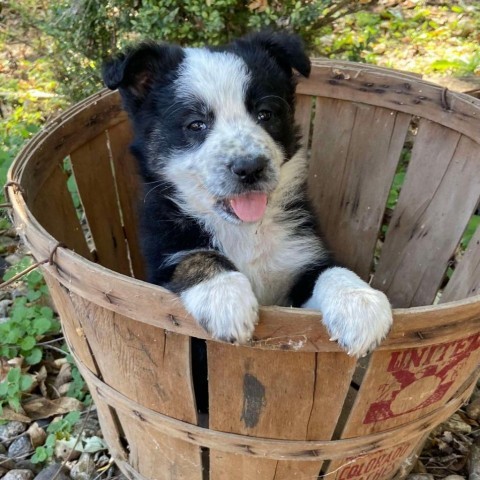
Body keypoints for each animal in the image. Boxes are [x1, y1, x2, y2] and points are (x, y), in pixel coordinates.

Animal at [103, 31, 392, 356]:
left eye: (265, 114)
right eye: (196, 124)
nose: (250, 168)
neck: (245, 231)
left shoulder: (303, 257)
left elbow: (331, 271)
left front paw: (360, 304)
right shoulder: (162, 253)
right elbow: (194, 256)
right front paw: (224, 297)